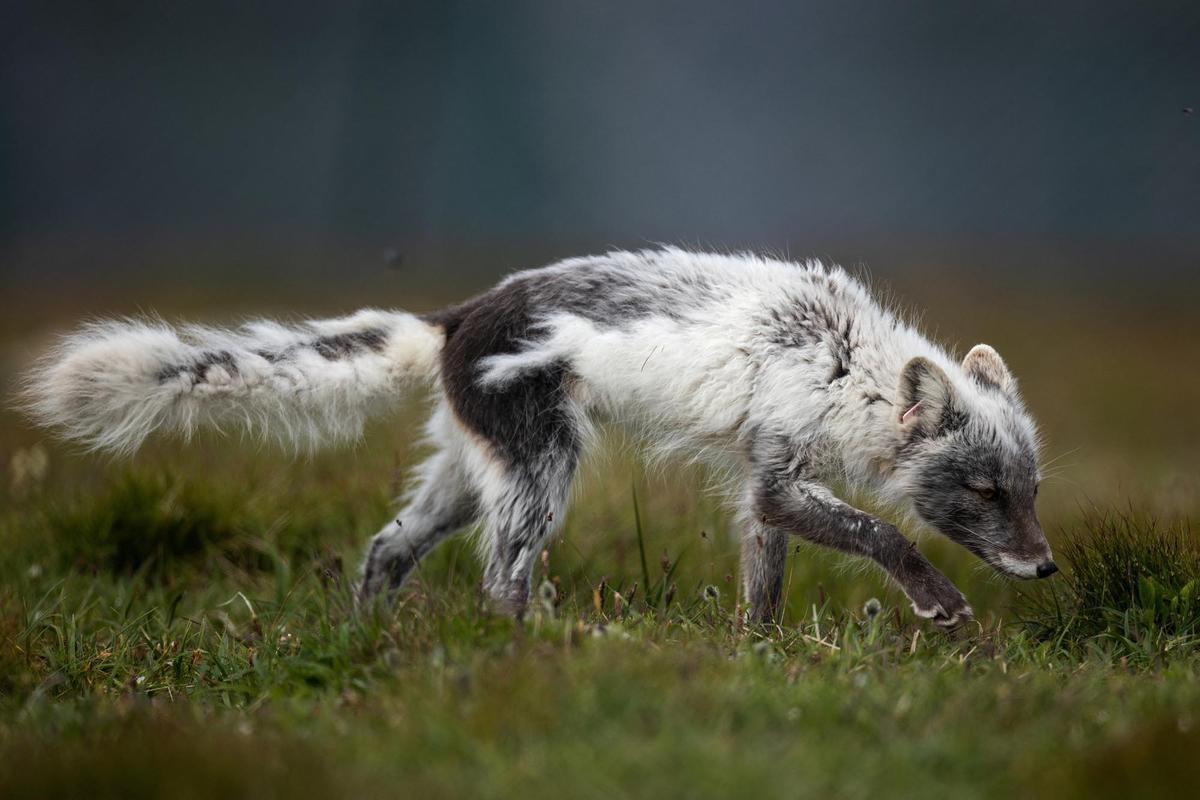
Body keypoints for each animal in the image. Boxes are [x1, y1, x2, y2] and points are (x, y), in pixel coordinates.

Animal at [23, 250, 1056, 623]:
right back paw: (542, 644)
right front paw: (938, 601)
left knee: (388, 544)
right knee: (499, 576)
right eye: (984, 492)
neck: (844, 362)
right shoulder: (778, 471)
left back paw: (369, 638)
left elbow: (764, 573)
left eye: (1033, 489)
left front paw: (756, 651)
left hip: (467, 471)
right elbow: (880, 533)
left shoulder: (765, 476)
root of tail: (448, 320)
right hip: (541, 469)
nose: (1046, 567)